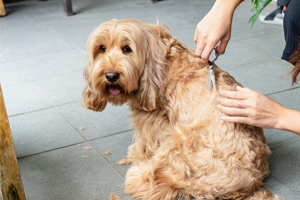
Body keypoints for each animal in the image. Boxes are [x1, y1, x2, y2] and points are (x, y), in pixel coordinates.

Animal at [81, 19, 278, 200]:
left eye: (127, 49)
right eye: (101, 48)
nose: (111, 76)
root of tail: (252, 180)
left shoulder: (150, 117)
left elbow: (146, 140)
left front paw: (138, 153)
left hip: (179, 140)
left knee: (154, 179)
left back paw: (139, 174)